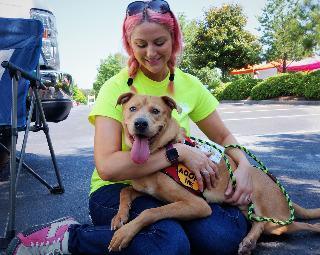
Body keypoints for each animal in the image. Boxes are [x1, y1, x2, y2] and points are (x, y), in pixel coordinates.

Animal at [108, 92, 320, 254]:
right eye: (132, 109)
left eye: (155, 111)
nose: (140, 124)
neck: (160, 152)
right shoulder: (144, 189)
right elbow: (125, 191)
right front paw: (120, 216)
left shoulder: (197, 204)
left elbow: (150, 211)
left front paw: (125, 234)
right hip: (260, 218)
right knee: (259, 224)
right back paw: (249, 242)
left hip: (277, 222)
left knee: (302, 225)